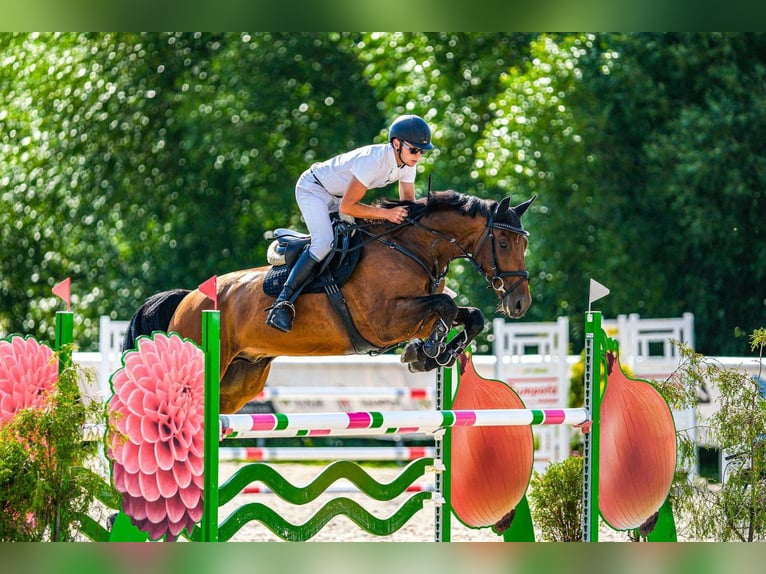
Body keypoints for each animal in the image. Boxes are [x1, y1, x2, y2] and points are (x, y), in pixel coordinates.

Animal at [124, 191, 536, 416]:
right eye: (503, 243)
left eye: (524, 243)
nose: (519, 303)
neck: (412, 248)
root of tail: (188, 299)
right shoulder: (384, 321)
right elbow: (445, 306)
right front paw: (429, 351)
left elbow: (467, 314)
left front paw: (432, 353)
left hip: (242, 378)